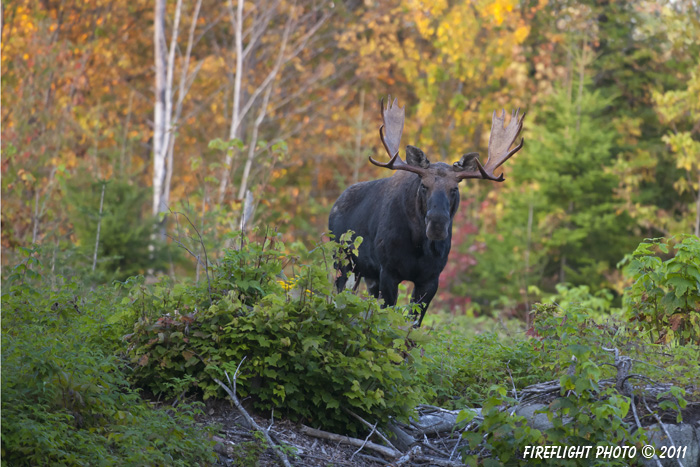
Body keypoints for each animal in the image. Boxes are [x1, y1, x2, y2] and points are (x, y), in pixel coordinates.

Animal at [330, 97, 524, 328]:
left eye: (454, 188)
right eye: (424, 185)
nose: (437, 224)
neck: (418, 247)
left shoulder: (431, 278)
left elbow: (413, 323)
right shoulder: (388, 271)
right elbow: (389, 317)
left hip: (366, 274)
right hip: (342, 261)